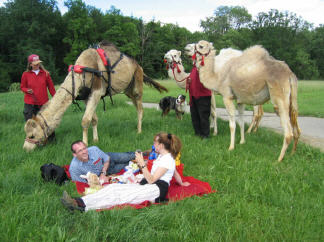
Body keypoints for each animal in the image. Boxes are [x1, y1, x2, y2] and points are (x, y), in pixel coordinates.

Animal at [23, 41, 168, 151]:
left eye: (32, 135)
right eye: (27, 133)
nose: (25, 148)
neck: (81, 73)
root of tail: (138, 66)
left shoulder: (97, 92)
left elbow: (85, 120)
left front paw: (84, 144)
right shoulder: (86, 96)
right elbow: (93, 119)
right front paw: (96, 139)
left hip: (137, 82)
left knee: (140, 108)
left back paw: (139, 131)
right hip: (128, 90)